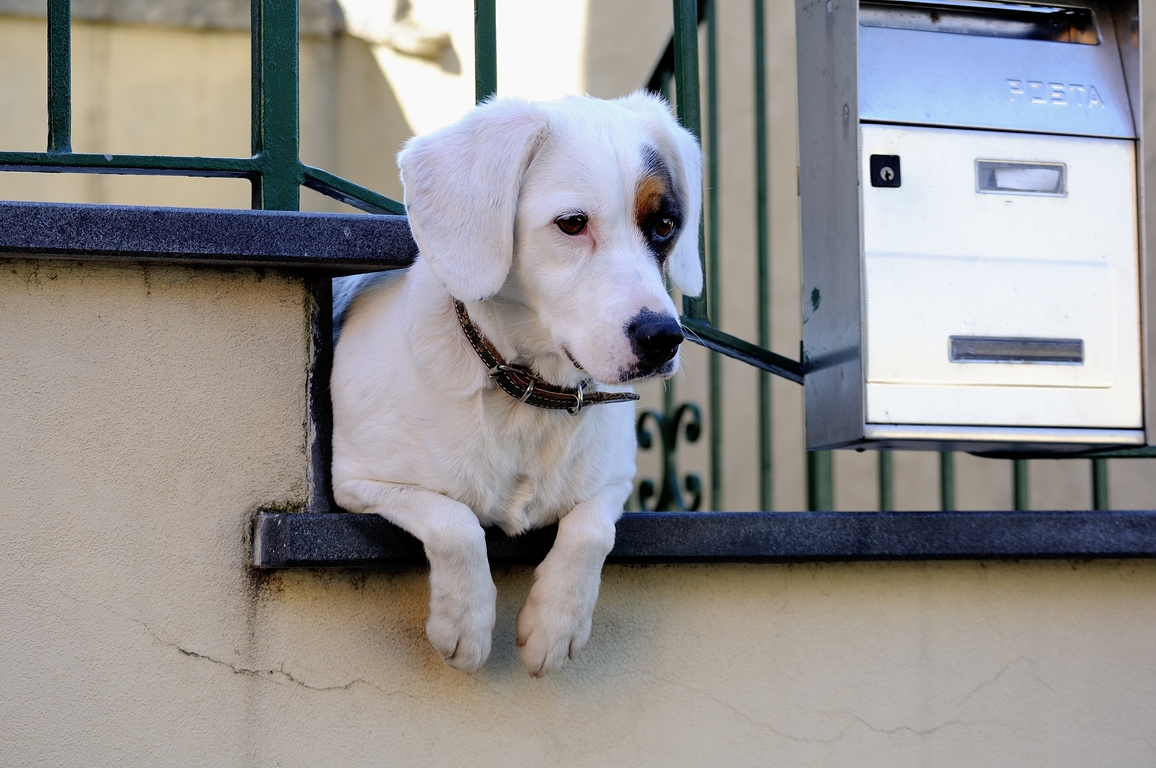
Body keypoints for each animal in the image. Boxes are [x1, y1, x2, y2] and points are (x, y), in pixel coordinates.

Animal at [330, 91, 698, 680]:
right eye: (572, 223)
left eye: (664, 223)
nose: (663, 338)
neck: (528, 393)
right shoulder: (356, 480)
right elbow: (455, 520)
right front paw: (466, 621)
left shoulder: (615, 481)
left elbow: (594, 530)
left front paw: (556, 624)